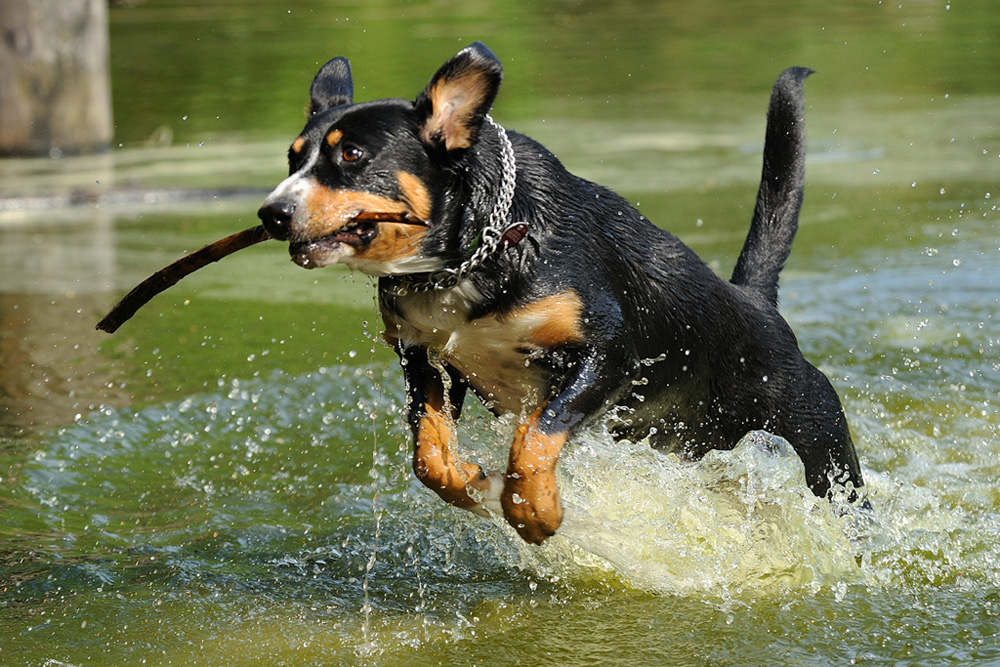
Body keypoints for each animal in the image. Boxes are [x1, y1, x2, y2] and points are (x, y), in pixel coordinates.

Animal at [258, 41, 868, 544]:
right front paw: (467, 479)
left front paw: (534, 511)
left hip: (821, 439)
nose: (272, 213)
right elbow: (428, 449)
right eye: (292, 157)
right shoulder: (424, 355)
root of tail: (755, 303)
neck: (475, 257)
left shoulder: (608, 353)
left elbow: (536, 436)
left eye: (352, 155)